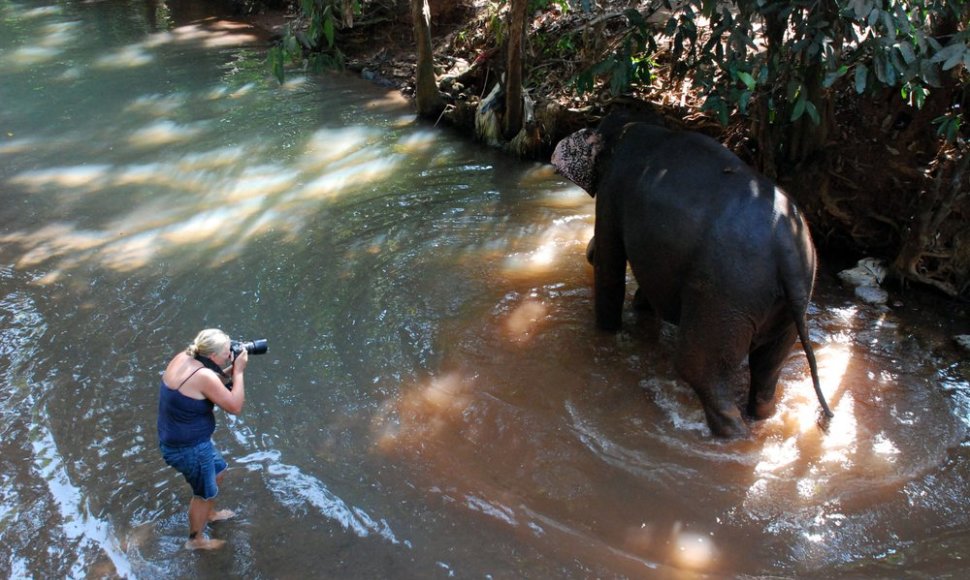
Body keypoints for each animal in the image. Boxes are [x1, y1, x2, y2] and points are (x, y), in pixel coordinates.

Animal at [552, 109, 832, 438]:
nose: (587, 251)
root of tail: (787, 249)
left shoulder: (612, 190)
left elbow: (611, 263)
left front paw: (606, 332)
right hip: (787, 308)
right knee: (767, 370)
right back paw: (759, 419)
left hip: (726, 294)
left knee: (700, 370)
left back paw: (733, 435)